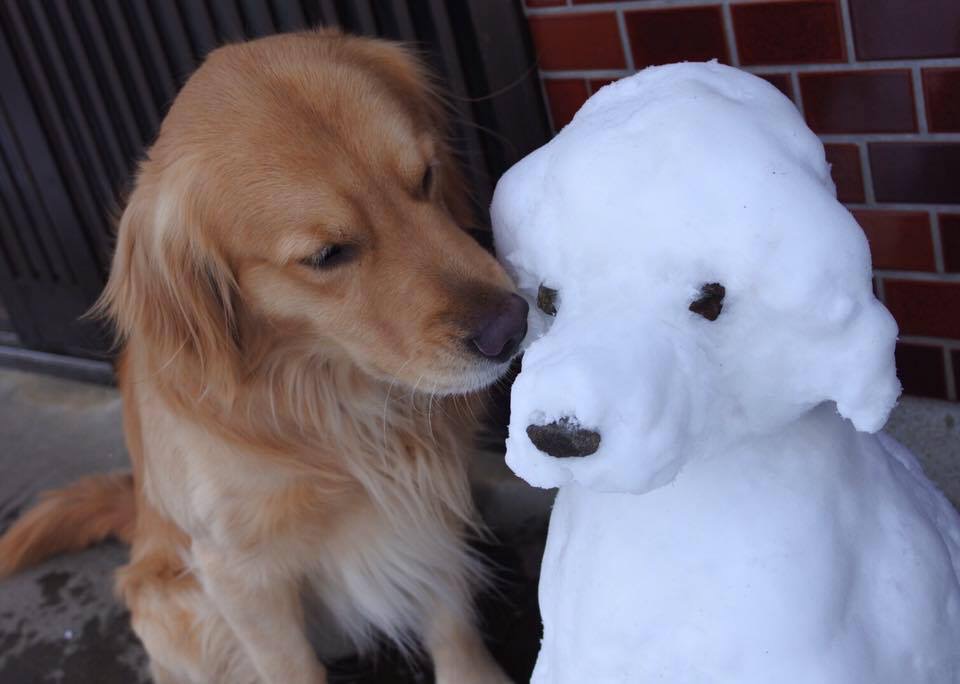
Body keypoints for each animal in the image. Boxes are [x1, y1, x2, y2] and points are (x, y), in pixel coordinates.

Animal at [0, 28, 528, 684]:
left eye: (426, 177)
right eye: (327, 255)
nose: (510, 327)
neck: (331, 398)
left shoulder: (430, 500)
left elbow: (451, 620)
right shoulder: (239, 575)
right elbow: (289, 665)